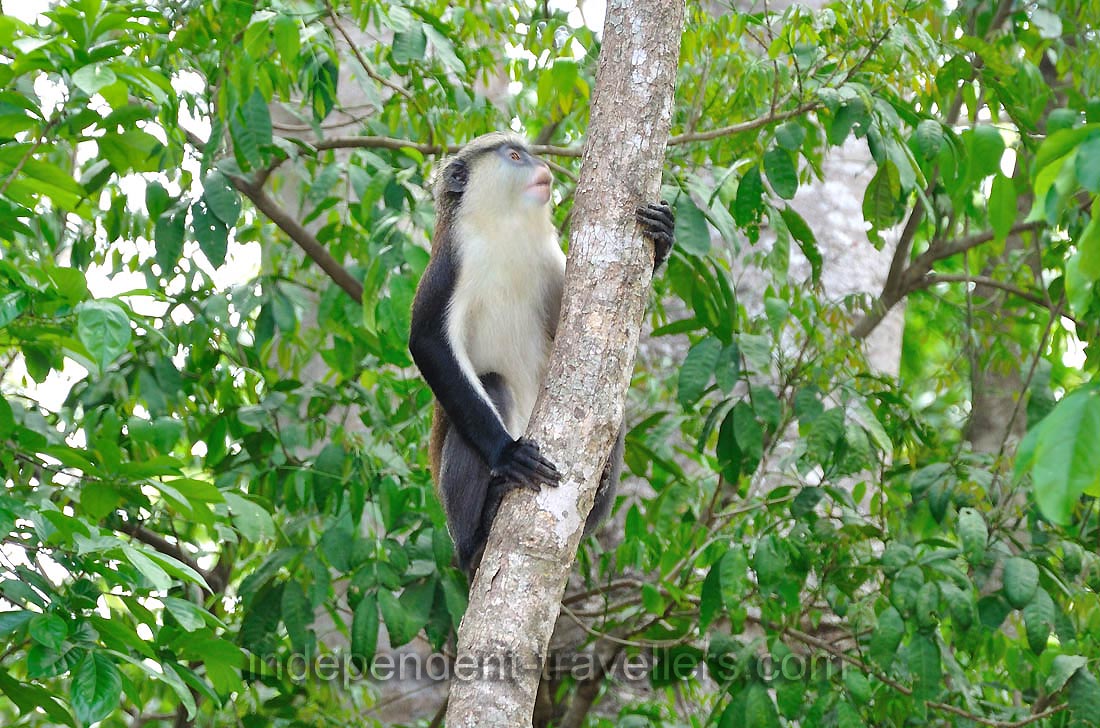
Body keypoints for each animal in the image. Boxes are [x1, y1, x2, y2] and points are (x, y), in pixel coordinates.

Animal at [408, 132, 674, 573]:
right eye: (514, 156)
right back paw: (477, 538)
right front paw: (507, 452)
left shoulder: (549, 257)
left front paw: (663, 237)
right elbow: (426, 341)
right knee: (492, 384)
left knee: (613, 416)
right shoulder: (452, 262)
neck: (506, 227)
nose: (544, 169)